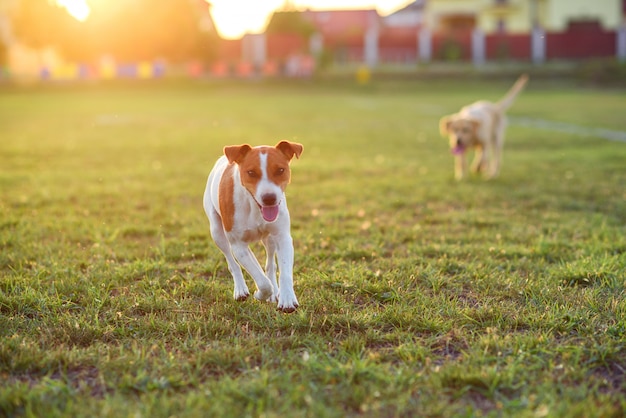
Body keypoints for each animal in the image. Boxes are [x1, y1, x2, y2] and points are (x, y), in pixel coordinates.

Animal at [202, 142, 302, 312]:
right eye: (251, 172)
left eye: (280, 170)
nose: (269, 198)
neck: (254, 207)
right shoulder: (238, 245)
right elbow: (262, 281)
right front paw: (260, 294)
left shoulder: (282, 237)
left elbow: (284, 272)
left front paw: (287, 298)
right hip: (217, 232)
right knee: (232, 263)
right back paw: (241, 290)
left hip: (269, 239)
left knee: (270, 264)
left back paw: (274, 291)